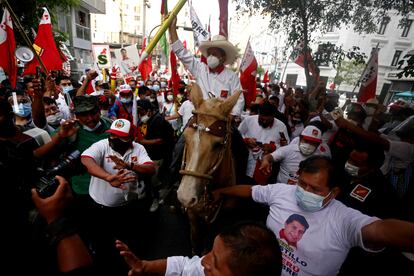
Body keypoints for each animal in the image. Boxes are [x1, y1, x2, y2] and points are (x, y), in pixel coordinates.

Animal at [176, 83, 247, 254]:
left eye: (218, 145)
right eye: (186, 137)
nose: (185, 196)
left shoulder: (218, 222)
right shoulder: (193, 218)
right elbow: (196, 244)